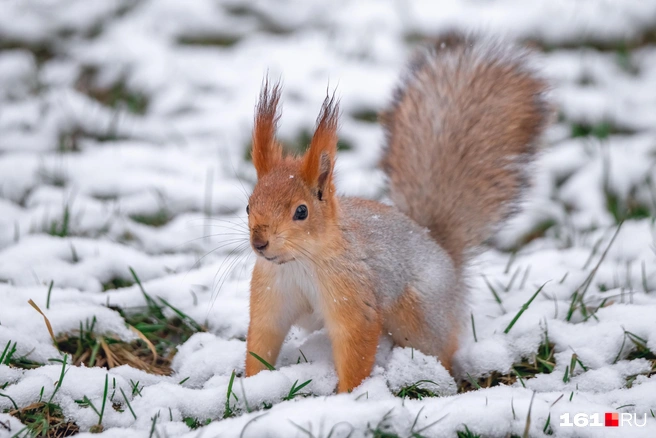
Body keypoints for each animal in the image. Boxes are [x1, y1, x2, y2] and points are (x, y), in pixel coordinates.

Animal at [241, 32, 548, 392]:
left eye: (301, 211)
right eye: (248, 205)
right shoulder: (270, 295)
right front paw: (252, 385)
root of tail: (445, 257)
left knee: (441, 351)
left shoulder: (354, 295)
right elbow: (262, 339)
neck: (298, 263)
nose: (259, 243)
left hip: (417, 315)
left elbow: (356, 344)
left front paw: (346, 396)